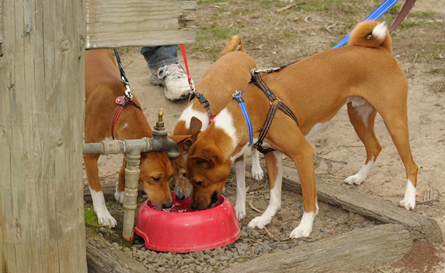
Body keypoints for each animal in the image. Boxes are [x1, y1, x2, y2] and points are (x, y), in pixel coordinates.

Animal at [84, 49, 186, 227]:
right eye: (155, 178)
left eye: (170, 176)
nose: (168, 205)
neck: (117, 111)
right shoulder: (90, 155)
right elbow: (97, 189)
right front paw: (104, 214)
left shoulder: (130, 145)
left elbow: (125, 164)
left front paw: (121, 190)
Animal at [170, 36, 260, 219]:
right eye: (173, 174)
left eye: (184, 173)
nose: (179, 197)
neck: (203, 108)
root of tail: (239, 53)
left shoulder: (237, 152)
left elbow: (241, 185)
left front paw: (239, 208)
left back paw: (257, 169)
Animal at [185, 21, 416, 238]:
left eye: (198, 181)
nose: (194, 207)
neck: (249, 112)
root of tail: (381, 50)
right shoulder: (272, 154)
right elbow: (274, 196)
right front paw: (265, 218)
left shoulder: (303, 154)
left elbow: (308, 199)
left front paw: (304, 227)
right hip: (358, 116)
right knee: (374, 147)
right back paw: (359, 177)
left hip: (394, 122)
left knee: (411, 165)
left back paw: (409, 199)